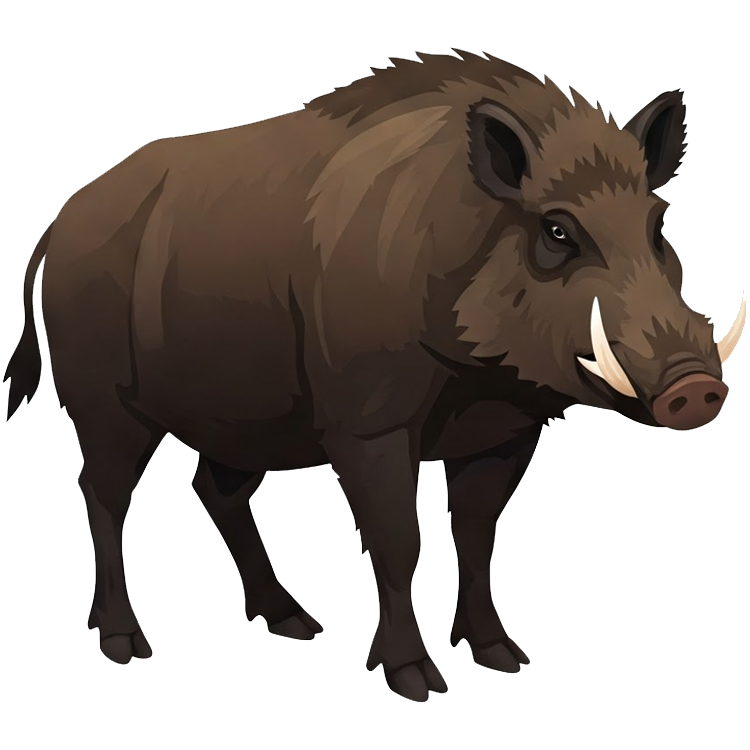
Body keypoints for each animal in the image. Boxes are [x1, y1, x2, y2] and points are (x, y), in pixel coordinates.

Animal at [5, 50, 745, 701]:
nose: (695, 389)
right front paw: (415, 681)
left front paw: (503, 658)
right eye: (558, 231)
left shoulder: (504, 430)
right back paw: (124, 645)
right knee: (102, 493)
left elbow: (477, 534)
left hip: (245, 419)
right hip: (103, 401)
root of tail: (58, 224)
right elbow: (399, 542)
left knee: (212, 490)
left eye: (659, 225)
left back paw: (295, 624)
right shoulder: (367, 425)